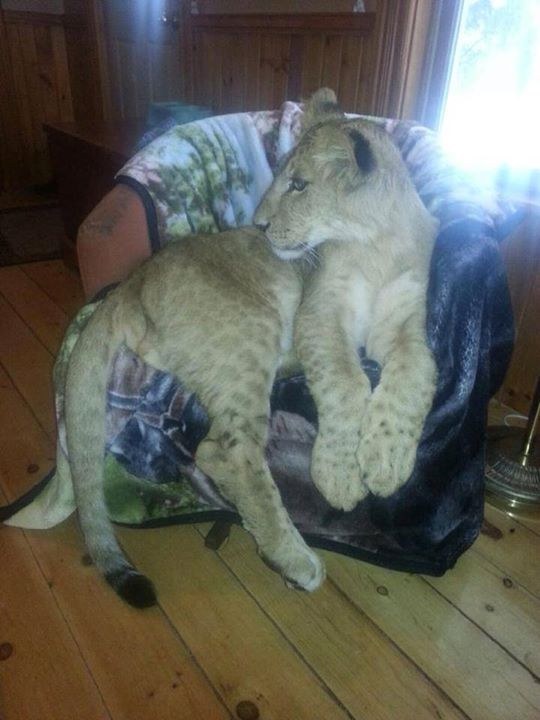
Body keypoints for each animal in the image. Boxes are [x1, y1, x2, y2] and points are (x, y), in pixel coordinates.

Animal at [62, 89, 437, 607]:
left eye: (299, 185)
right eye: (282, 178)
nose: (259, 226)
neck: (377, 243)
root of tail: (130, 284)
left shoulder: (406, 326)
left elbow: (418, 376)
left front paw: (386, 462)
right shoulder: (318, 317)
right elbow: (346, 382)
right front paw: (341, 476)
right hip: (253, 332)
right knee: (227, 453)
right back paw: (295, 559)